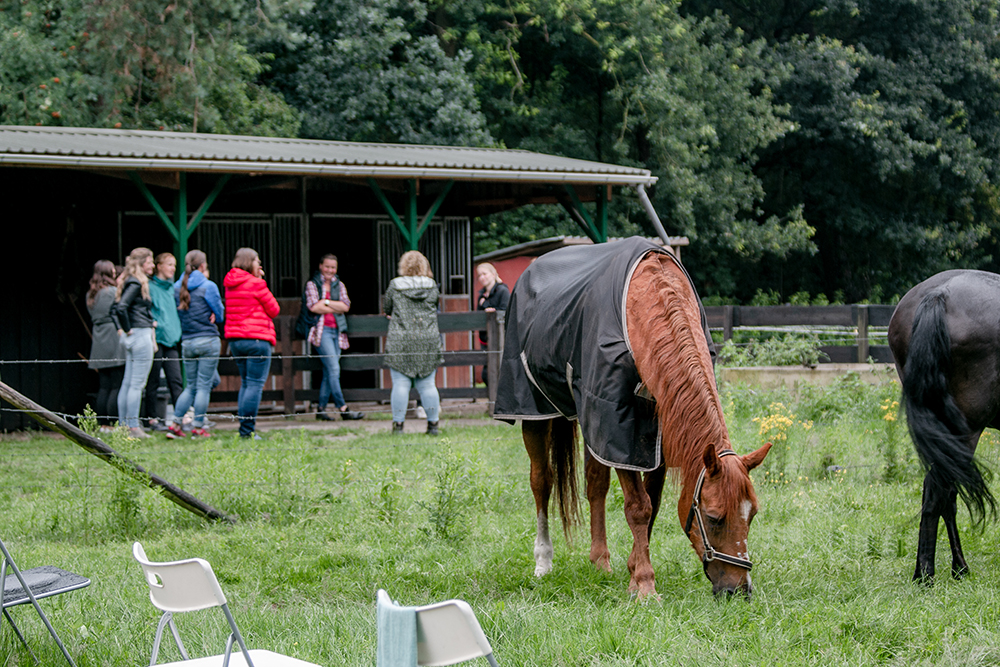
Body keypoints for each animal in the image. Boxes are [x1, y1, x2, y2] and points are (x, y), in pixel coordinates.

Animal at [496, 237, 768, 596]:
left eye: (752, 515)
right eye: (713, 517)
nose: (739, 589)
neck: (642, 312)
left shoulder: (654, 437)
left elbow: (651, 503)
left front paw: (632, 573)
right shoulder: (619, 431)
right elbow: (639, 506)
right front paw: (645, 584)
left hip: (592, 425)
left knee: (595, 485)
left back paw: (600, 561)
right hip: (535, 412)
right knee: (542, 481)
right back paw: (543, 561)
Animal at [888, 272, 996, 584]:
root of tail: (940, 294)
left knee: (940, 495)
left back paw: (952, 567)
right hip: (964, 431)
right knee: (941, 494)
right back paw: (928, 574)